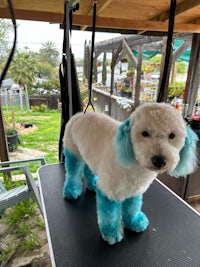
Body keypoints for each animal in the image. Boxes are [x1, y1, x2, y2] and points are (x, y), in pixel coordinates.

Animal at [63, 103, 198, 246]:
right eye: (145, 133)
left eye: (172, 135)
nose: (160, 161)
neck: (134, 163)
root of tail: (79, 115)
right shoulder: (109, 191)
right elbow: (110, 215)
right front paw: (111, 234)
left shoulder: (135, 189)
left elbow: (132, 207)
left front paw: (134, 223)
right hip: (72, 153)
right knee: (72, 173)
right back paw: (71, 191)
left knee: (88, 169)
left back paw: (93, 184)